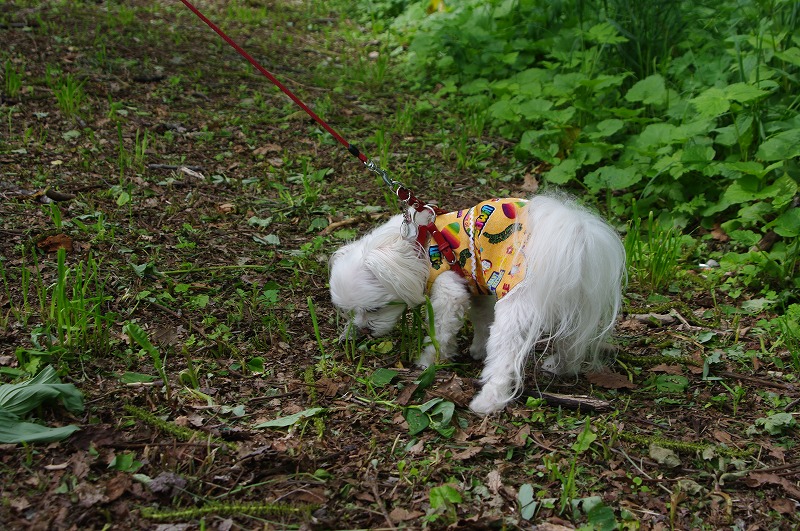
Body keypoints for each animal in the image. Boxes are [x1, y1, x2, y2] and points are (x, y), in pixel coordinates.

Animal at [329, 192, 626, 414]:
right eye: (351, 313)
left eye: (374, 309)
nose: (364, 331)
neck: (419, 243)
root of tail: (575, 237)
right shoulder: (477, 285)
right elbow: (482, 320)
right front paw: (478, 349)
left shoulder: (448, 289)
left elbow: (440, 333)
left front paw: (430, 361)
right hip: (573, 303)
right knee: (572, 342)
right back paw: (562, 367)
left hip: (515, 304)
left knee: (505, 359)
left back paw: (487, 402)